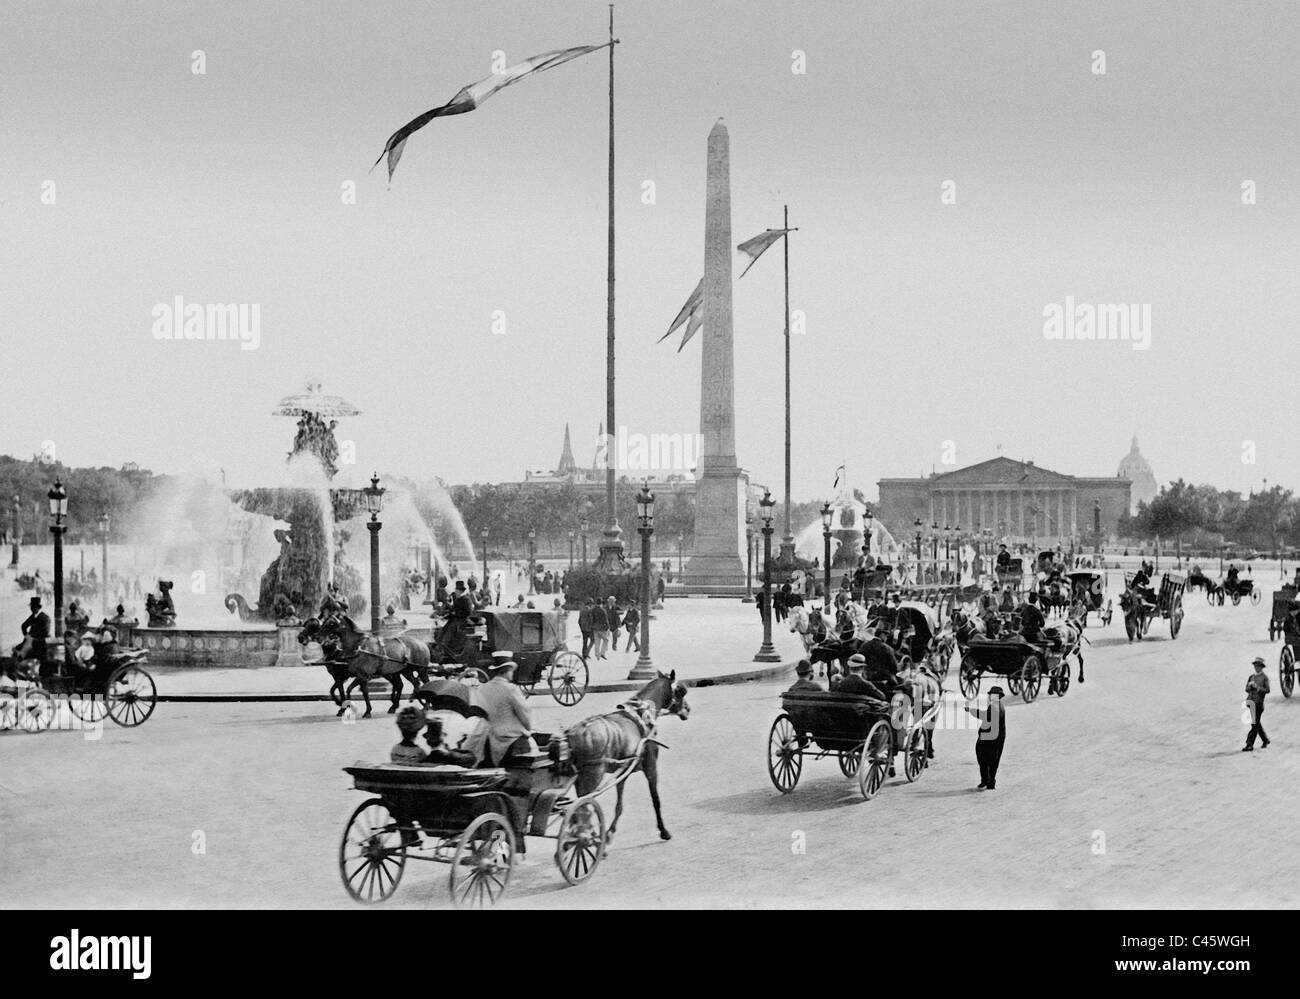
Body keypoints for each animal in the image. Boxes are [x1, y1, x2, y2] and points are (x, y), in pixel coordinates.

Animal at [297, 616, 428, 718]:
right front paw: (345, 706)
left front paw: (356, 709)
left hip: (420, 670)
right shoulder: (351, 676)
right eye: (306, 625)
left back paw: (424, 706)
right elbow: (343, 690)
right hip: (404, 671)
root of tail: (422, 643)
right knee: (410, 685)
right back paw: (397, 705)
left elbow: (353, 691)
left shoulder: (359, 675)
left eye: (331, 624)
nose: (300, 638)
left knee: (421, 683)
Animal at [566, 671, 691, 842]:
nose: (688, 709)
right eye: (680, 691)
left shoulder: (623, 772)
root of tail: (576, 733)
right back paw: (584, 836)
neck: (642, 713)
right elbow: (656, 800)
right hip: (593, 775)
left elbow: (619, 805)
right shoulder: (651, 766)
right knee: (584, 805)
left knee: (581, 807)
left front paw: (610, 832)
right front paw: (663, 831)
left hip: (579, 778)